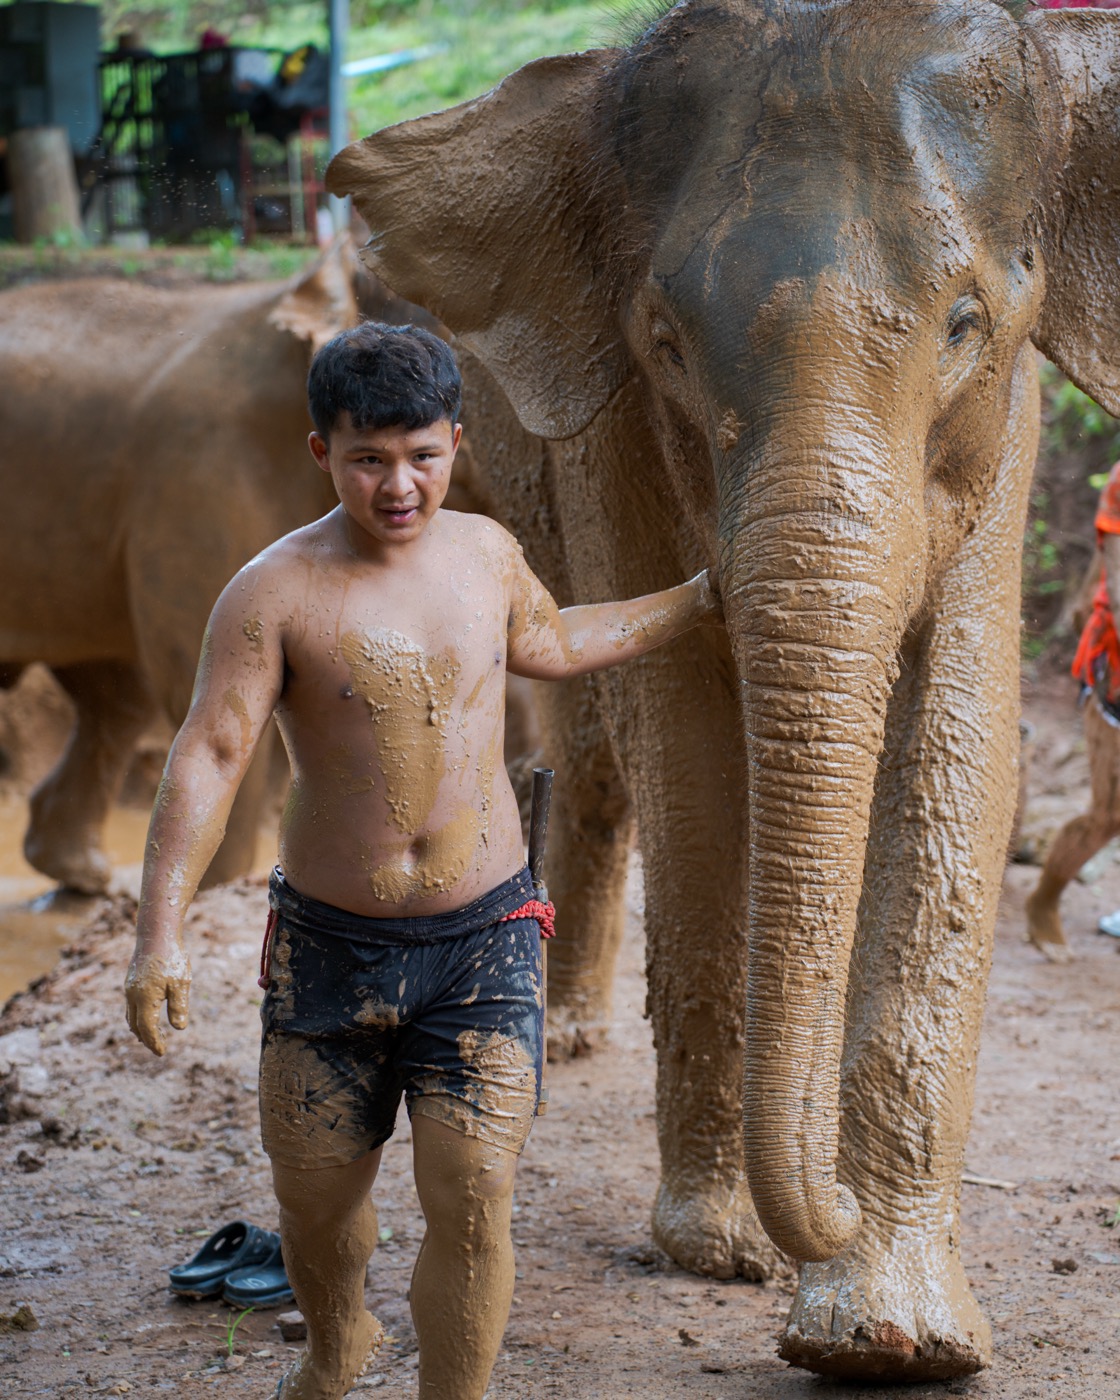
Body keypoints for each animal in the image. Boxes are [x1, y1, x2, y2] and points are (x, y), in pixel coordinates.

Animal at [328, 0, 1120, 1381]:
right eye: (666, 340)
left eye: (966, 320)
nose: (824, 1204)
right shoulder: (609, 424)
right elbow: (688, 736)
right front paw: (725, 1249)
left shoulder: (1004, 435)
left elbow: (956, 734)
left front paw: (892, 1338)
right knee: (598, 743)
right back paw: (569, 1036)